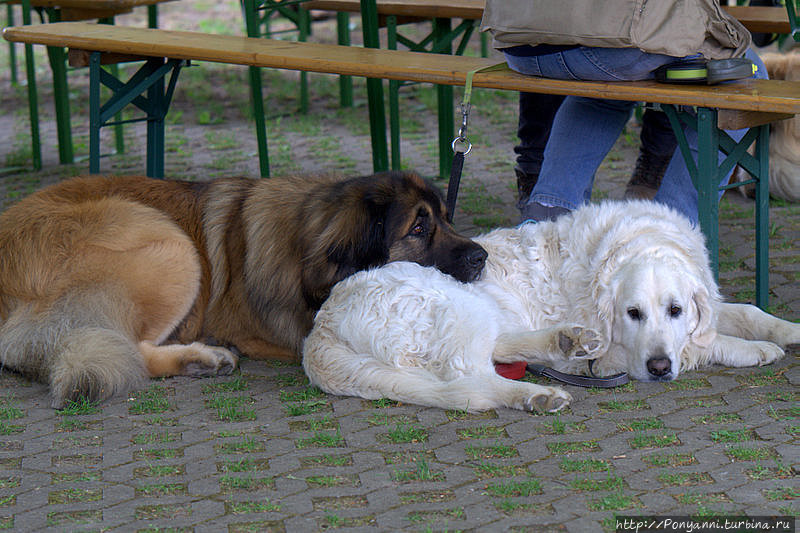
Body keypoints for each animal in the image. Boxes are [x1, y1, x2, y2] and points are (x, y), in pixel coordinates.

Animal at [0, 172, 484, 406]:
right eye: (418, 227)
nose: (482, 257)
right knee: (120, 346)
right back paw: (202, 358)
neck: (301, 243)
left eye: (446, 218)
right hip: (170, 245)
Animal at [302, 200, 800, 412]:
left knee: (501, 350)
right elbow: (703, 344)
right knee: (472, 381)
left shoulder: (705, 302)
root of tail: (319, 331)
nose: (658, 369)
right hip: (455, 308)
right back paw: (537, 393)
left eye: (676, 309)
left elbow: (741, 313)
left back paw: (565, 342)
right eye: (632, 314)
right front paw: (753, 350)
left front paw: (786, 330)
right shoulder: (619, 355)